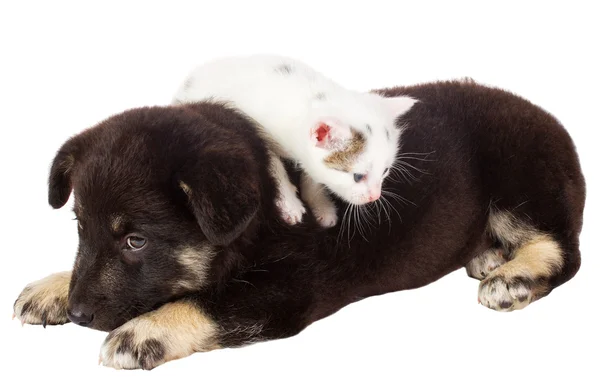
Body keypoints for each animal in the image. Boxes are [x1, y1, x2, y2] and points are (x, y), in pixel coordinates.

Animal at [14, 80, 584, 368]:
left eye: (136, 240)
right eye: (80, 230)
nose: (80, 313)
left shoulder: (289, 288)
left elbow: (207, 302)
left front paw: (145, 330)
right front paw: (54, 287)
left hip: (520, 174)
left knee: (564, 249)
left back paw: (515, 275)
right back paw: (489, 254)